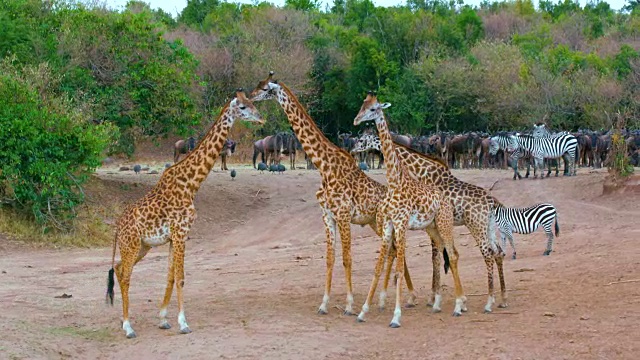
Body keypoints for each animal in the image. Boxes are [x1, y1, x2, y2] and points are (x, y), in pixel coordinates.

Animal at [106, 89, 264, 338]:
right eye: (243, 107)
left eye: (252, 103)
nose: (261, 119)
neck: (191, 184)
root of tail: (117, 228)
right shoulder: (181, 233)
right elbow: (181, 278)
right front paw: (183, 323)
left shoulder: (174, 237)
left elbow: (170, 276)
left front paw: (163, 319)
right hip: (131, 244)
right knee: (125, 275)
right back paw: (128, 326)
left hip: (142, 246)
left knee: (119, 268)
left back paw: (126, 321)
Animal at [250, 72, 424, 316]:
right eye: (258, 85)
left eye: (265, 88)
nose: (250, 96)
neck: (324, 166)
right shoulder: (327, 216)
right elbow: (330, 259)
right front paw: (324, 304)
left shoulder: (342, 215)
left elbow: (347, 259)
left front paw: (349, 304)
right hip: (375, 223)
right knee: (393, 251)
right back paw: (398, 298)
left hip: (382, 223)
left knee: (395, 251)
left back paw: (406, 297)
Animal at [352, 91, 462, 328]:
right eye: (362, 105)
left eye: (373, 109)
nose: (356, 120)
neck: (395, 182)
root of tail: (445, 199)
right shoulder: (388, 225)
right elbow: (378, 268)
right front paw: (363, 312)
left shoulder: (401, 225)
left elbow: (400, 270)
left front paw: (396, 316)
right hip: (432, 227)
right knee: (444, 252)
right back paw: (439, 304)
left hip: (444, 222)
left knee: (453, 254)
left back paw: (459, 305)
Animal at [352, 126, 508, 310]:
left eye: (361, 140)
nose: (352, 150)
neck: (421, 172)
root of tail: (493, 201)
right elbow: (438, 257)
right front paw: (437, 297)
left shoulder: (430, 224)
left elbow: (435, 258)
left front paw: (433, 298)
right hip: (488, 226)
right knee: (499, 252)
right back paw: (503, 298)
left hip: (476, 225)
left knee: (488, 254)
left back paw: (489, 301)